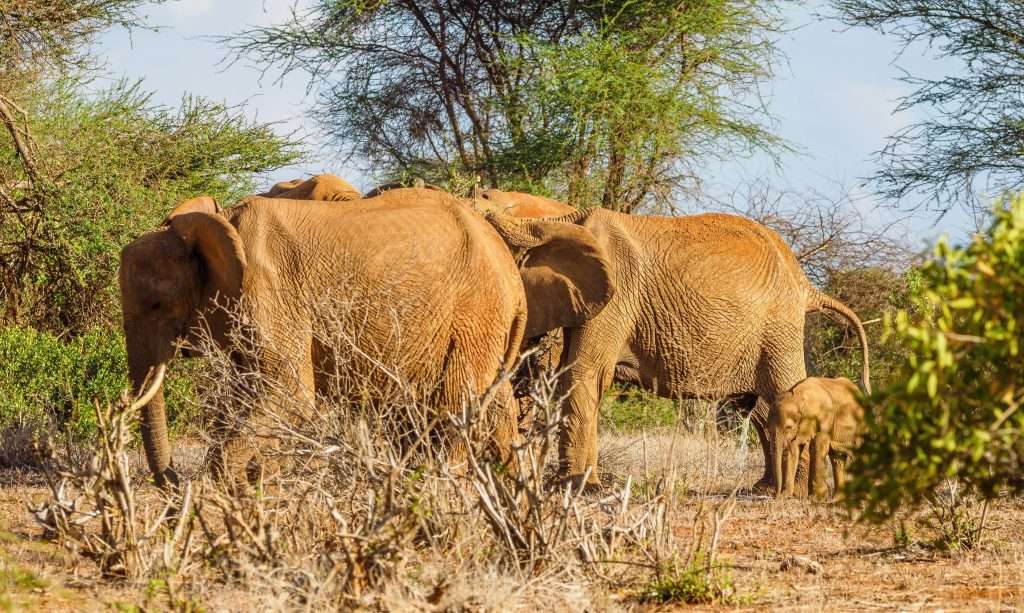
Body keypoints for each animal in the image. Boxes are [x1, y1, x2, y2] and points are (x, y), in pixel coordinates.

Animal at [118, 187, 614, 488]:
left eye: (158, 305)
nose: (170, 481)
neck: (219, 225)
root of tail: (510, 271)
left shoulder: (270, 292)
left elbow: (288, 393)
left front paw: (225, 489)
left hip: (475, 314)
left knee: (454, 408)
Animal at [482, 203, 871, 490]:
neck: (543, 221)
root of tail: (806, 284)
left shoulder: (616, 295)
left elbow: (583, 374)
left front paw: (574, 489)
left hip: (779, 327)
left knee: (784, 391)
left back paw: (795, 491)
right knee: (762, 404)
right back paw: (766, 488)